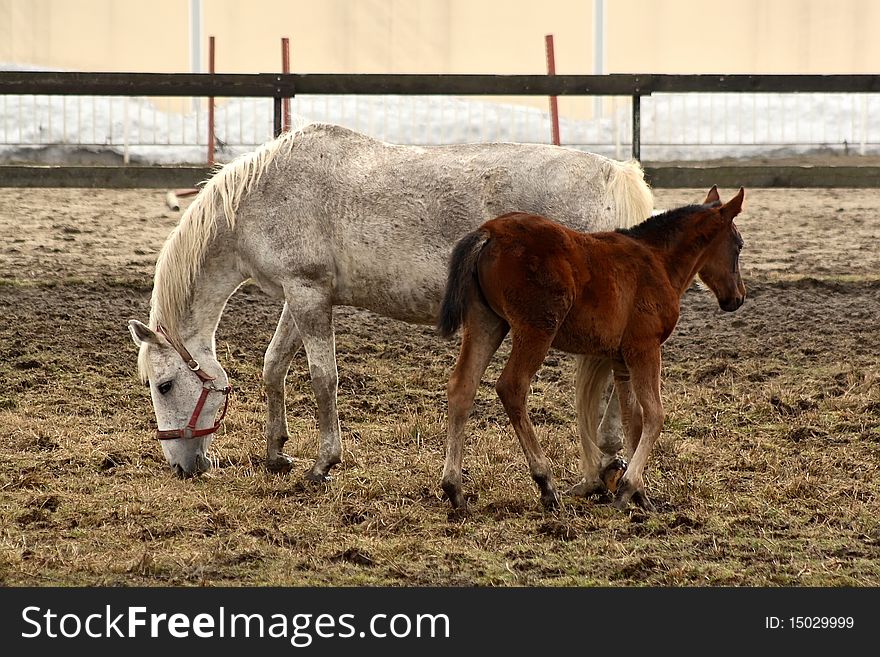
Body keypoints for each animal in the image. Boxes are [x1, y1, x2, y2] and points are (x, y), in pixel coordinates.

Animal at [127, 120, 648, 494]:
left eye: (165, 385)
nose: (182, 467)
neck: (262, 196)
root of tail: (615, 176)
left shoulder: (308, 294)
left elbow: (323, 378)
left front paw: (323, 464)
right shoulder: (301, 296)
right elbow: (274, 366)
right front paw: (276, 453)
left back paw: (606, 460)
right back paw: (605, 463)